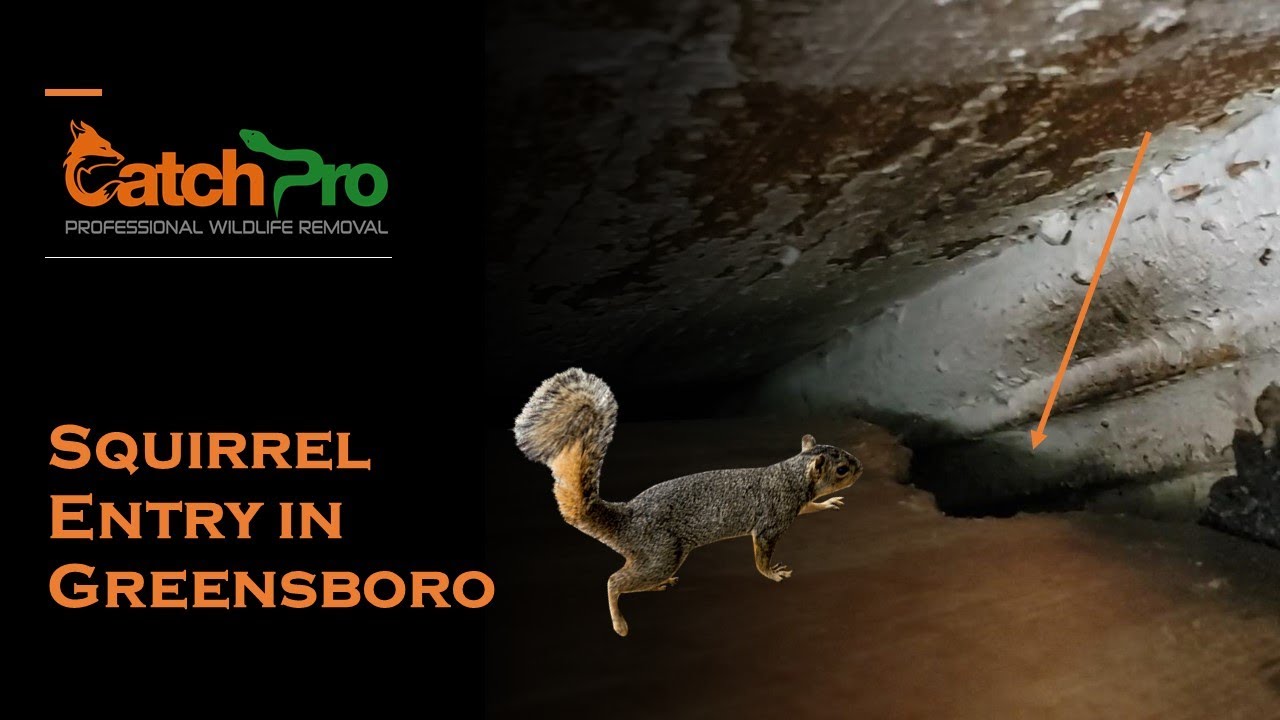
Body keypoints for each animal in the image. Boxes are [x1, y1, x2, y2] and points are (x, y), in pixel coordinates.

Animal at [513, 368, 863, 637]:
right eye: (841, 469)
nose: (860, 468)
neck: (791, 475)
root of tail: (625, 519)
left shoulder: (794, 505)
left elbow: (810, 507)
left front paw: (828, 504)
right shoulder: (772, 520)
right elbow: (762, 555)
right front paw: (773, 573)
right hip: (662, 554)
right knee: (614, 581)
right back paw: (620, 624)